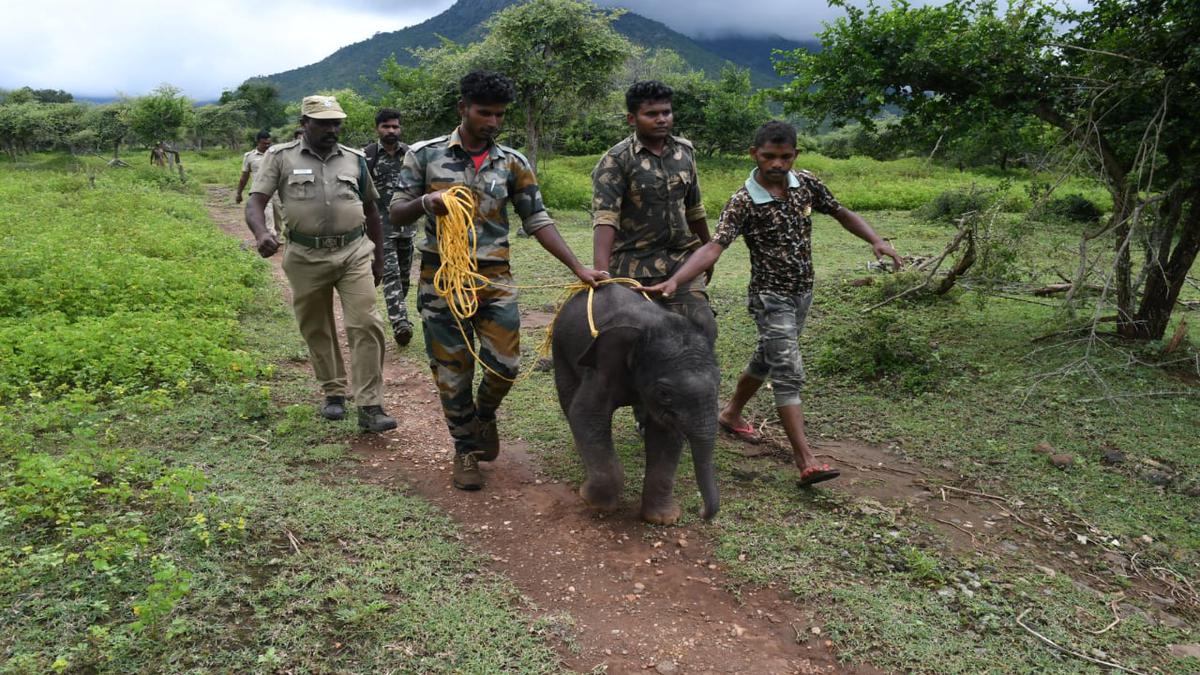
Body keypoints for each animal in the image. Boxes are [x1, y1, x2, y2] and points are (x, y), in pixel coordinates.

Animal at [552, 282, 720, 521]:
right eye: (664, 393)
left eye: (719, 382)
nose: (700, 511)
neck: (653, 327)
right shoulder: (602, 368)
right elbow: (585, 414)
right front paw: (593, 502)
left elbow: (665, 434)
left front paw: (664, 519)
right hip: (560, 347)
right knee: (568, 398)